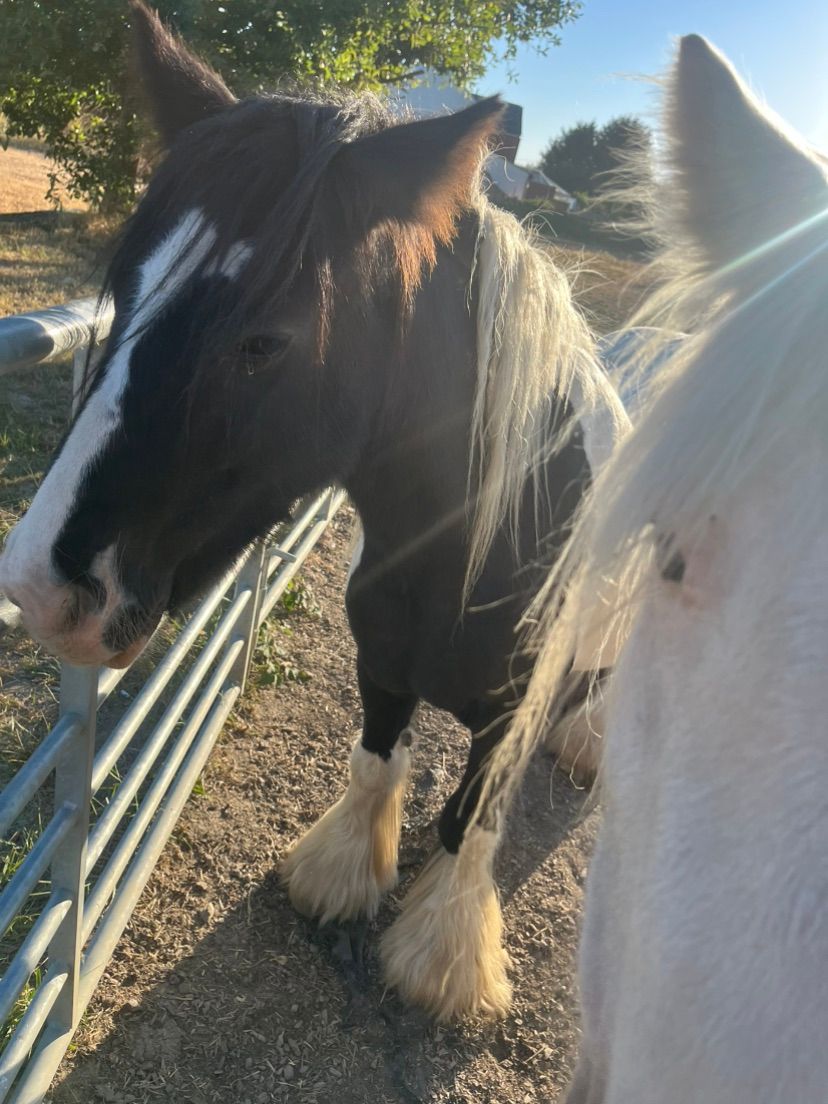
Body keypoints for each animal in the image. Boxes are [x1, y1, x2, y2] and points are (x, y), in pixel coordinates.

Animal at [0, 1, 628, 1020]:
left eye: (265, 341)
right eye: (124, 292)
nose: (40, 589)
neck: (485, 549)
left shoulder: (506, 719)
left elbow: (469, 825)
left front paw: (441, 963)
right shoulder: (383, 664)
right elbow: (376, 764)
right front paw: (337, 879)